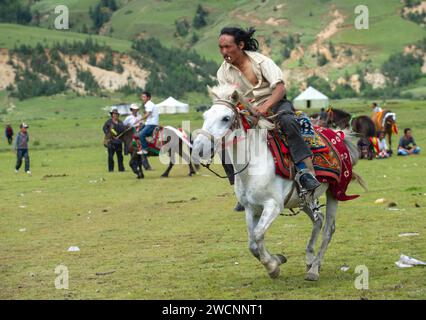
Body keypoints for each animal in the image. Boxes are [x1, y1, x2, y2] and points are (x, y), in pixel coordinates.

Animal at [193, 84, 362, 280]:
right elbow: (252, 243)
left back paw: (314, 269)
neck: (254, 164)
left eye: (225, 118)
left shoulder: (273, 206)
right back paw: (310, 258)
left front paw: (273, 266)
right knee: (318, 219)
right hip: (303, 199)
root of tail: (338, 135)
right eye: (206, 116)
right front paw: (278, 260)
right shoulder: (251, 208)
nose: (198, 148)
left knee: (328, 229)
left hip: (334, 192)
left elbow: (258, 234)